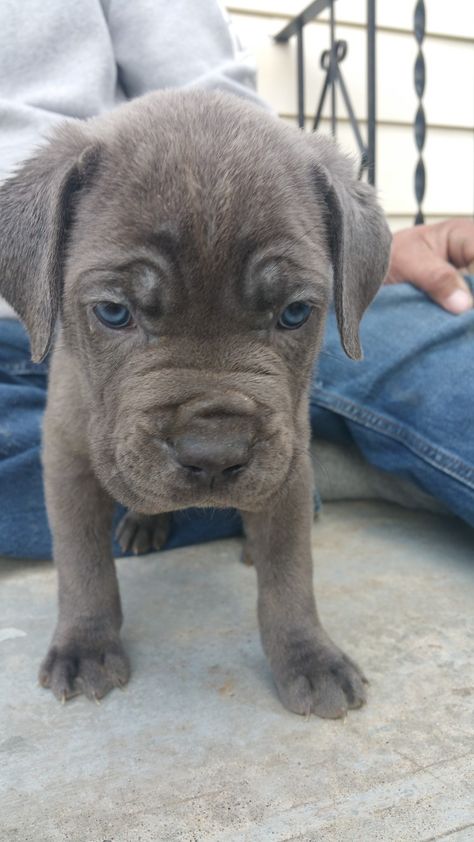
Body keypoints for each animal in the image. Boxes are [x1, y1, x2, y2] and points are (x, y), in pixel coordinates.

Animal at [0, 92, 390, 716]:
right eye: (113, 312)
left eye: (295, 313)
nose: (214, 454)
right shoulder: (66, 458)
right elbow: (82, 563)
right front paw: (85, 646)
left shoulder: (289, 462)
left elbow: (290, 573)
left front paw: (309, 656)